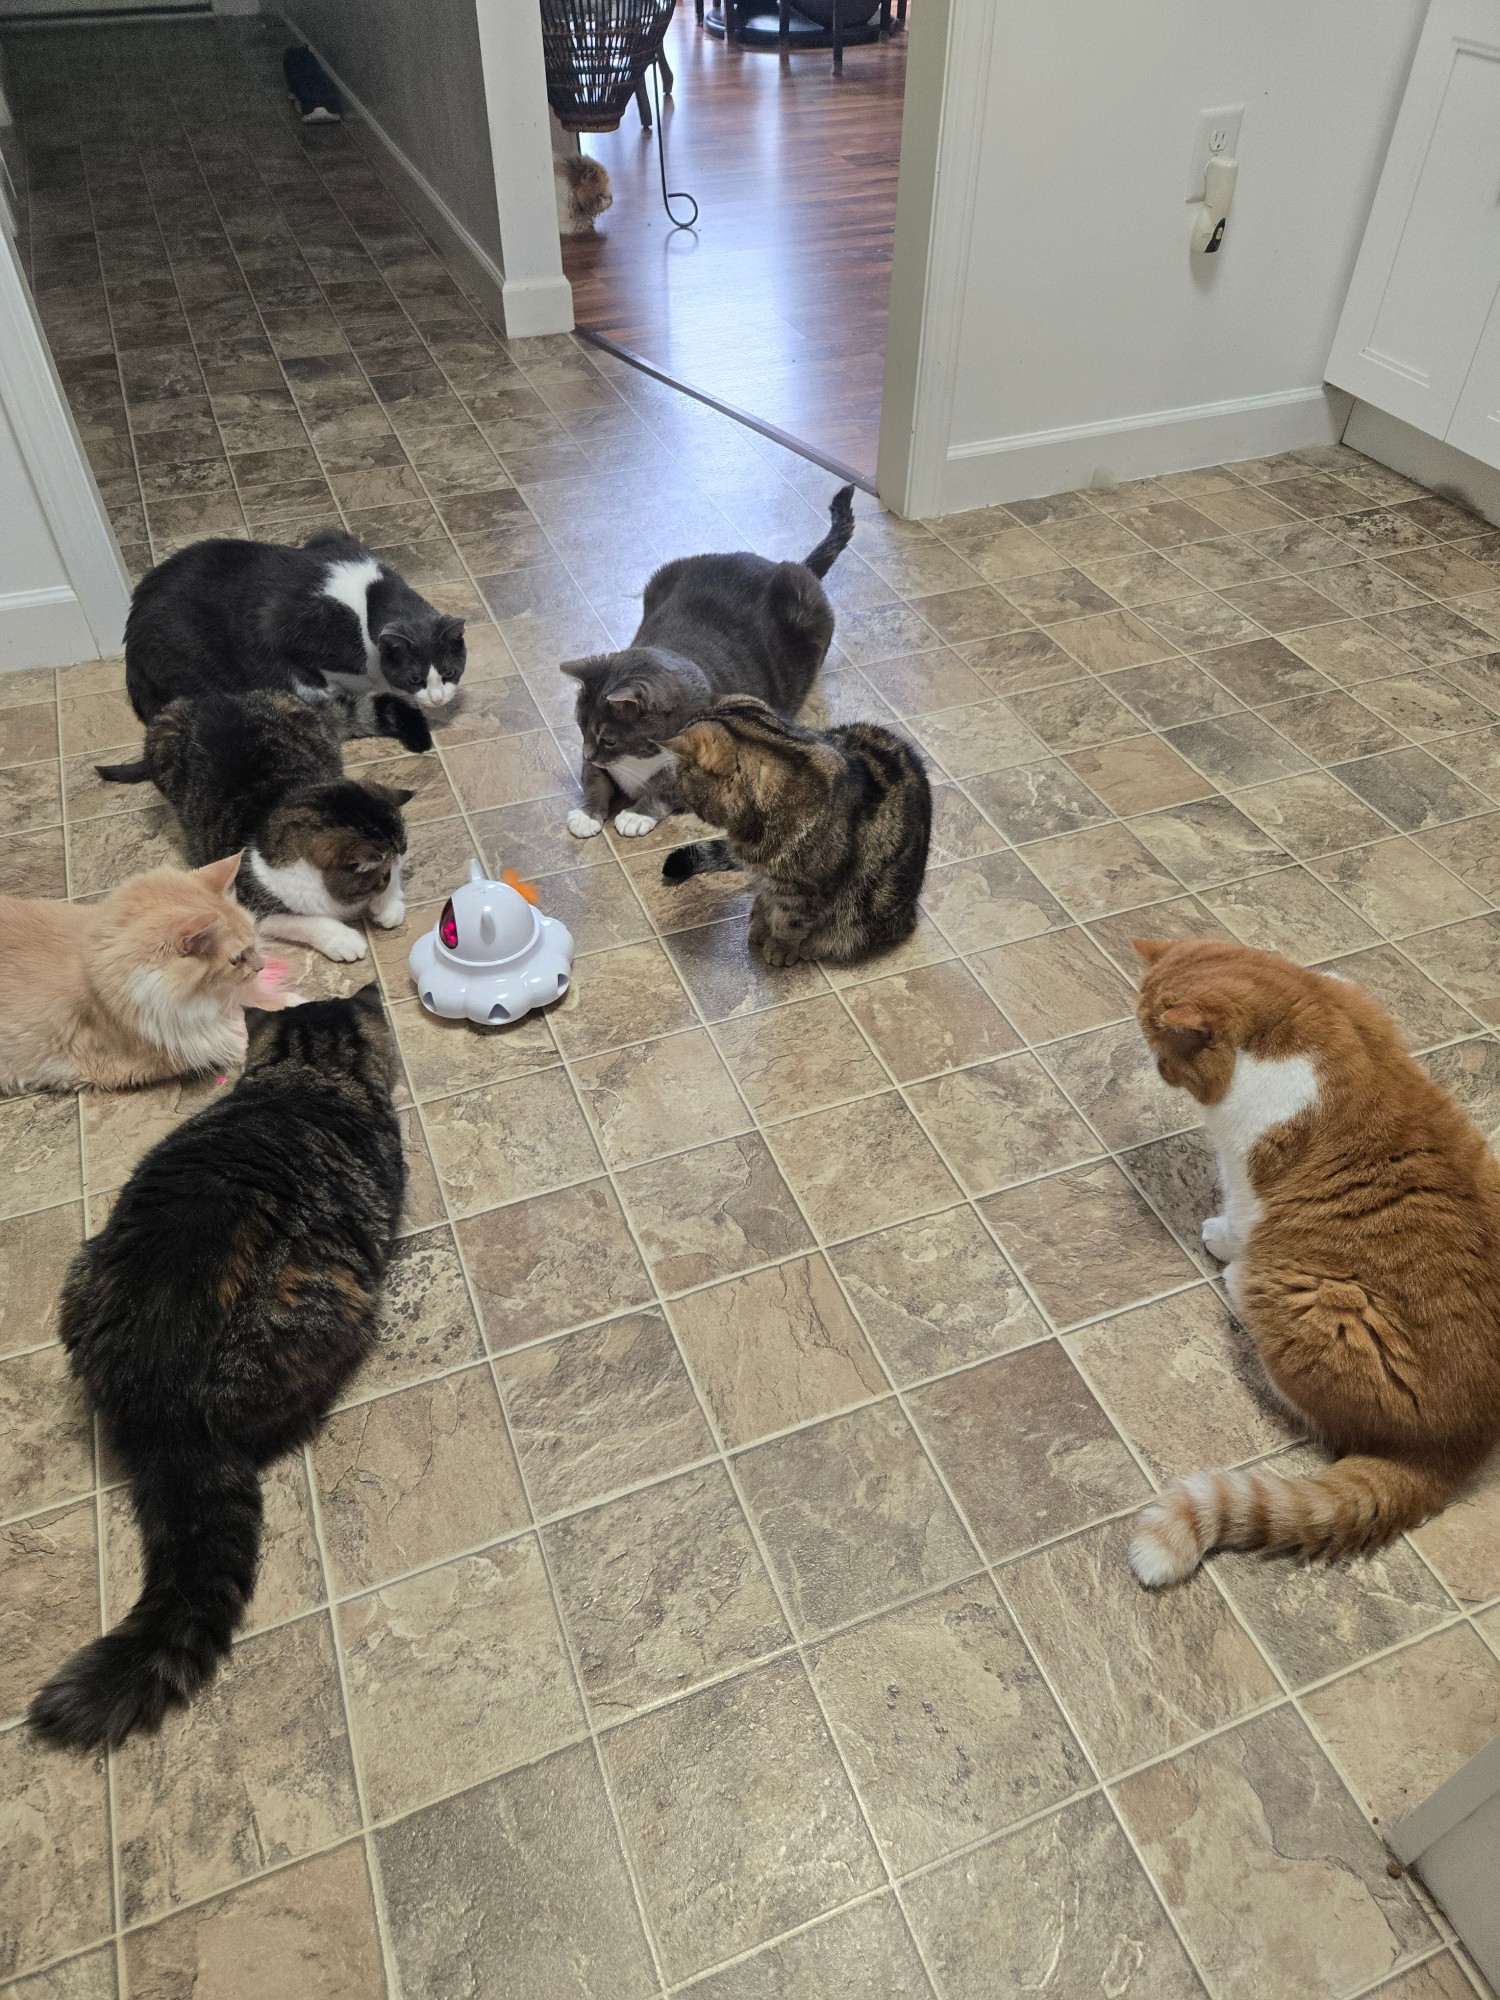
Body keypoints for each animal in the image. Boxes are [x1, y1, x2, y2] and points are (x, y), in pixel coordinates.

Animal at [126, 528, 468, 752]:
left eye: (450, 672)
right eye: (414, 679)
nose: (439, 699)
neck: (370, 598)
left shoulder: (330, 537)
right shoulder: (278, 626)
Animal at [560, 486, 856, 844]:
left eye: (610, 740)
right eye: (580, 728)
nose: (587, 752)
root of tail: (780, 564)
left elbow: (665, 789)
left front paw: (636, 814)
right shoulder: (598, 765)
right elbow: (594, 780)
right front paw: (588, 814)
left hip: (806, 602)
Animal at [1136, 940, 1496, 1592]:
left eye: (1158, 1043)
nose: (1157, 1070)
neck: (1308, 1012)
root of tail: (1458, 1449)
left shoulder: (1246, 1175)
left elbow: (1236, 1216)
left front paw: (1219, 1240)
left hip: (1308, 1296)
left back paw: (1234, 1283)